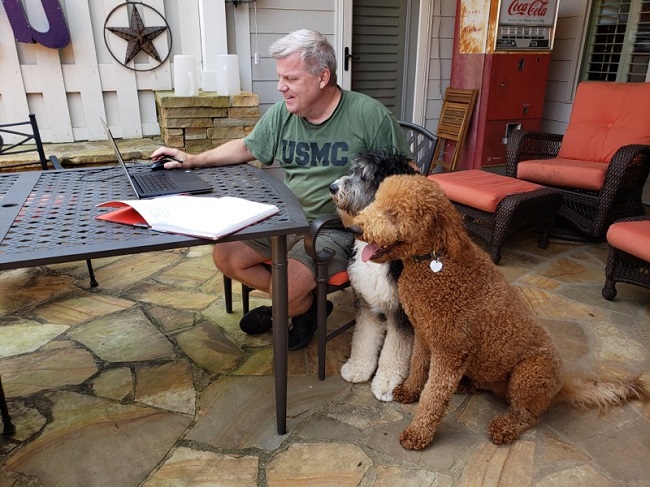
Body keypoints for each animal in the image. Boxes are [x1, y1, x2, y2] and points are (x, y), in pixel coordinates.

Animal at [330, 151, 416, 402]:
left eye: (366, 177)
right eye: (353, 170)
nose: (332, 187)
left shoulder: (401, 312)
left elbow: (395, 349)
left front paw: (387, 383)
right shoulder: (366, 300)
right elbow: (363, 337)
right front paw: (358, 368)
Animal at [352, 174, 644, 450]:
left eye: (394, 213)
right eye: (376, 201)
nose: (355, 227)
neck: (435, 263)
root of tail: (561, 386)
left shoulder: (450, 350)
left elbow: (434, 395)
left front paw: (418, 433)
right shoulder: (425, 334)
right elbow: (418, 367)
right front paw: (410, 391)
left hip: (530, 373)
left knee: (527, 414)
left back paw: (504, 427)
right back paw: (466, 385)